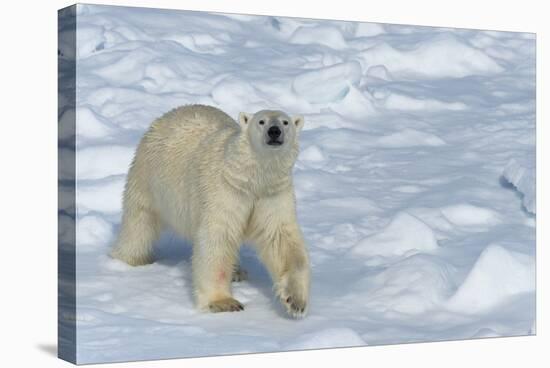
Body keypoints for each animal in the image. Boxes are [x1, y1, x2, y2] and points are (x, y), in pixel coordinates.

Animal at [111, 105, 310, 318]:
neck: (252, 179)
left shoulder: (272, 194)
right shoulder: (225, 190)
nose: (274, 131)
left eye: (285, 122)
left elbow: (281, 239)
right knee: (139, 224)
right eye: (261, 121)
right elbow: (218, 237)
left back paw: (237, 272)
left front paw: (295, 301)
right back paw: (130, 260)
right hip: (148, 179)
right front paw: (223, 302)